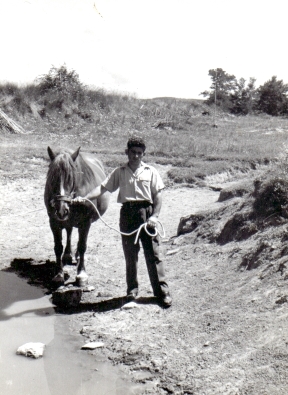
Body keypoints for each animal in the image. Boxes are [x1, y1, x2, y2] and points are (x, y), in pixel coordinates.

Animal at [43, 147, 109, 286]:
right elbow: (58, 247)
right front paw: (59, 274)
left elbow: (83, 245)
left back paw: (77, 256)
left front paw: (81, 274)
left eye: (71, 178)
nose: (62, 210)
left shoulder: (86, 222)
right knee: (69, 231)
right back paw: (68, 255)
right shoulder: (54, 222)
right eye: (52, 177)